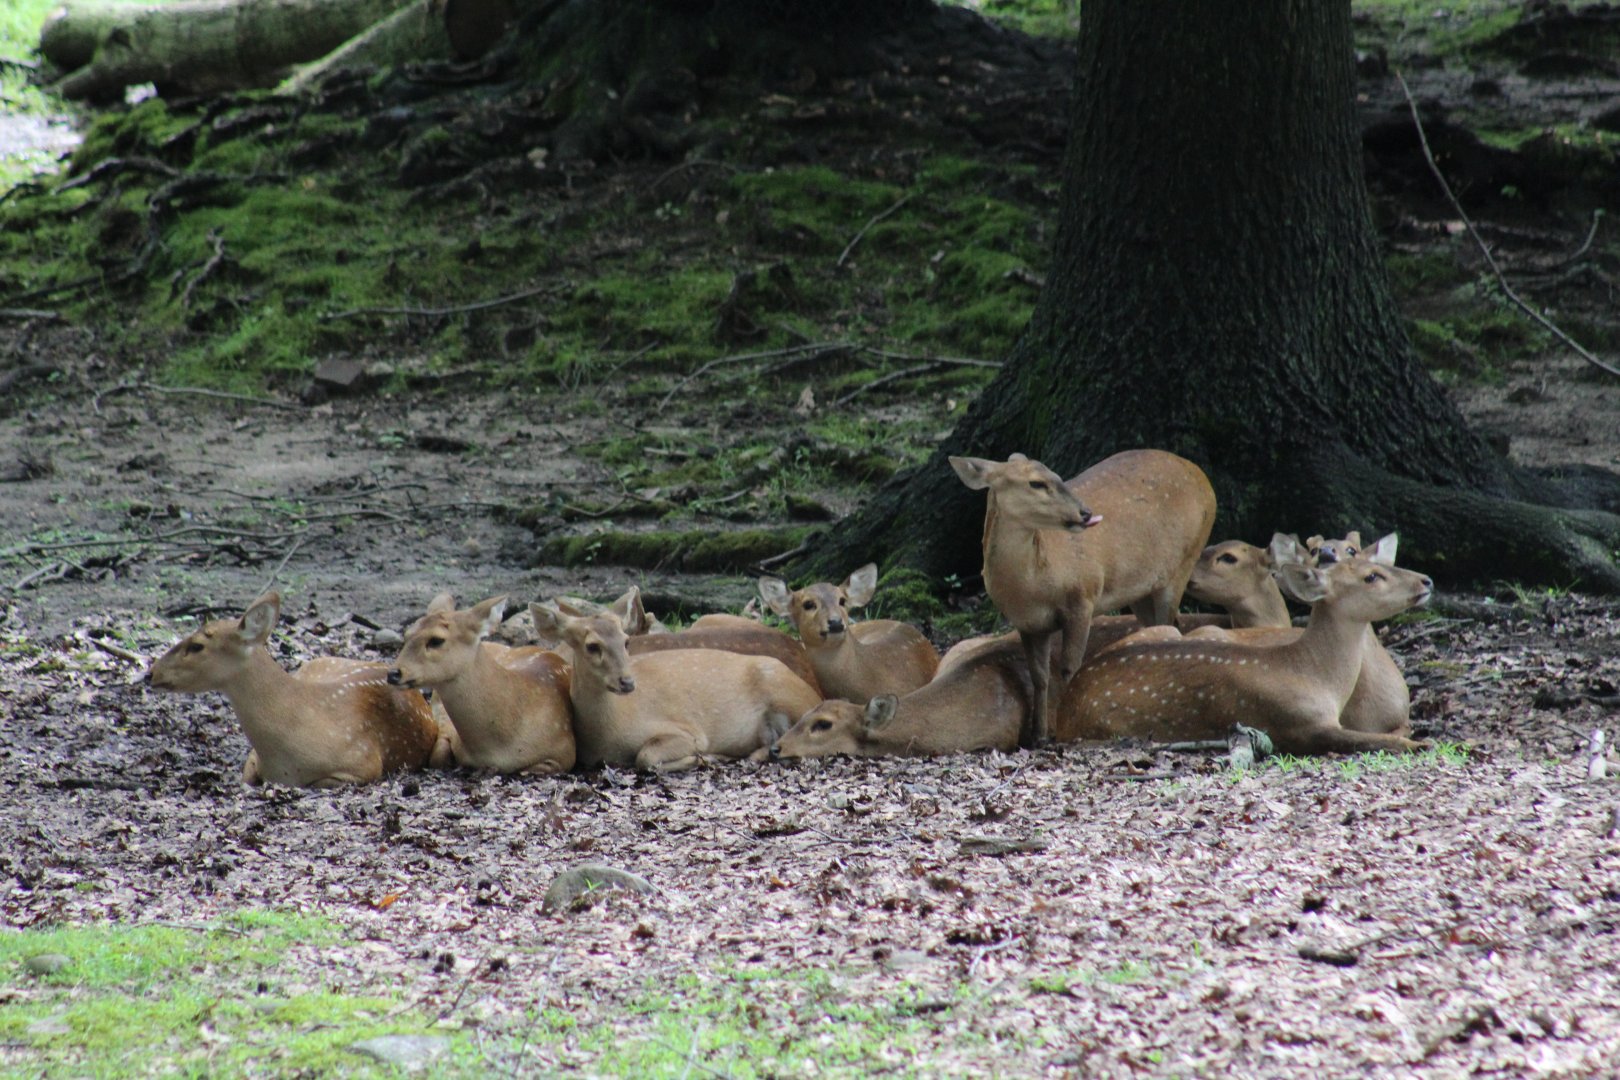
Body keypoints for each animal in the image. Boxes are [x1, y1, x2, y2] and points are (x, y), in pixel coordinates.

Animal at [531, 600, 822, 772]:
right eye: (592, 645)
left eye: (626, 641)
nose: (627, 682)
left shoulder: (688, 731)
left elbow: (646, 757)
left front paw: (705, 757)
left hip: (787, 693)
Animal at [950, 449, 1217, 746]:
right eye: (1036, 483)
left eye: (1057, 475)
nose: (1086, 513)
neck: (1031, 589)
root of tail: (1201, 474)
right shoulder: (1029, 624)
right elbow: (1039, 676)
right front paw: (1038, 735)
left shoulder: (1083, 597)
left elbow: (1070, 667)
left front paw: (1064, 730)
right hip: (1141, 587)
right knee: (1161, 625)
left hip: (1185, 559)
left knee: (1170, 621)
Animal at [1056, 533, 1433, 755]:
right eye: (1371, 577)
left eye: (1367, 561)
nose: (1426, 580)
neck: (1317, 677)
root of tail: (1063, 711)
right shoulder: (1298, 724)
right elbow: (1378, 739)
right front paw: (1424, 742)